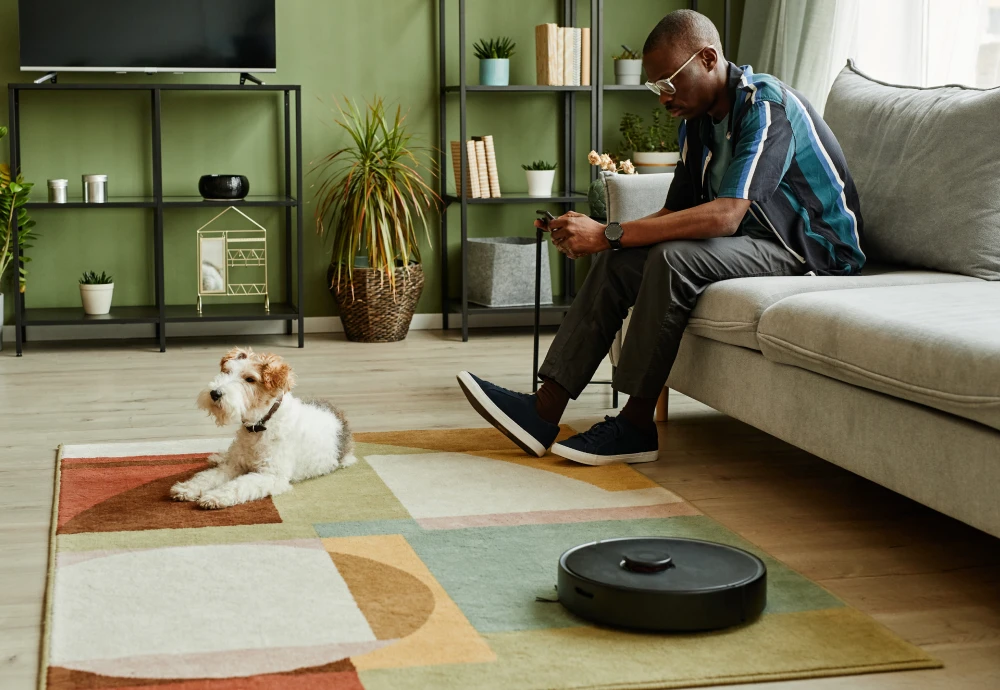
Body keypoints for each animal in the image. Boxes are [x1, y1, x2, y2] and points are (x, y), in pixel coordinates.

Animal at [172, 346, 356, 508]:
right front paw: (186, 488)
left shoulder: (271, 475)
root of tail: (337, 412)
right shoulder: (235, 465)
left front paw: (214, 497)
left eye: (250, 379)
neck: (260, 425)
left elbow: (238, 484)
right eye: (227, 371)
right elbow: (208, 477)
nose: (215, 393)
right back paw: (217, 457)